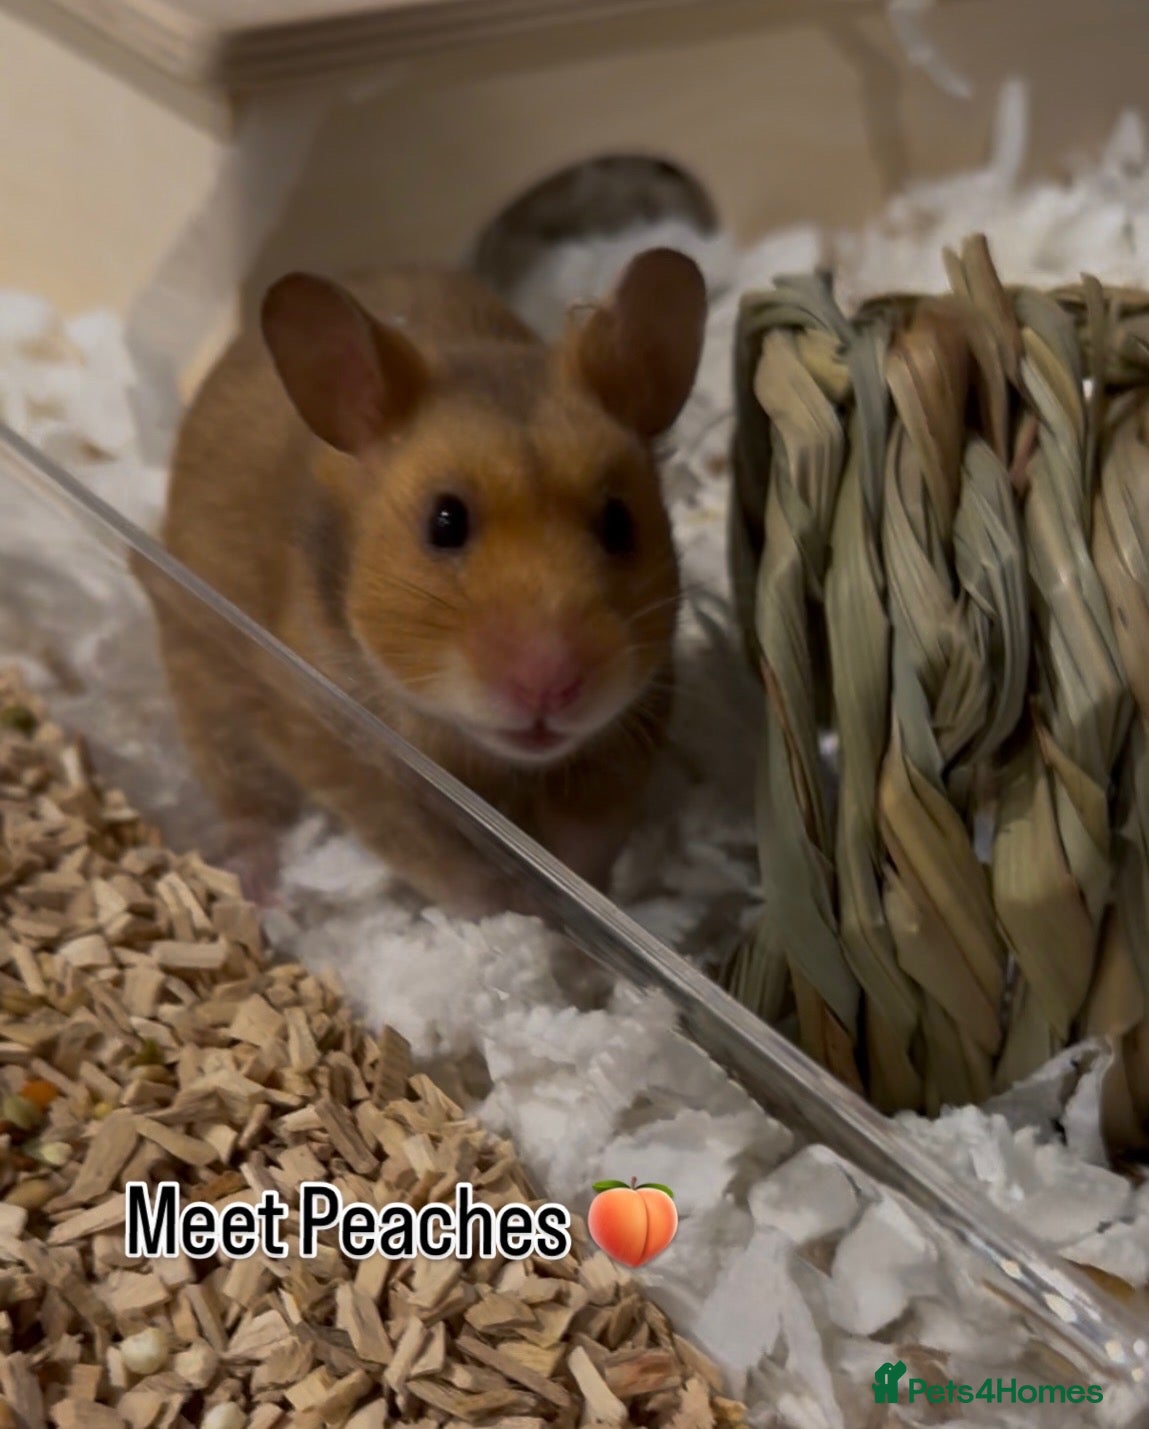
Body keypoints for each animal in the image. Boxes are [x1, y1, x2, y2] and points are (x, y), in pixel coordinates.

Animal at [150, 249, 706, 915]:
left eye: (619, 522)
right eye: (445, 522)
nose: (551, 688)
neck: (487, 755)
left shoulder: (631, 724)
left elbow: (586, 843)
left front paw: (576, 907)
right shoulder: (349, 756)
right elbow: (446, 863)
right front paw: (518, 911)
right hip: (200, 687)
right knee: (243, 801)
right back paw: (256, 889)